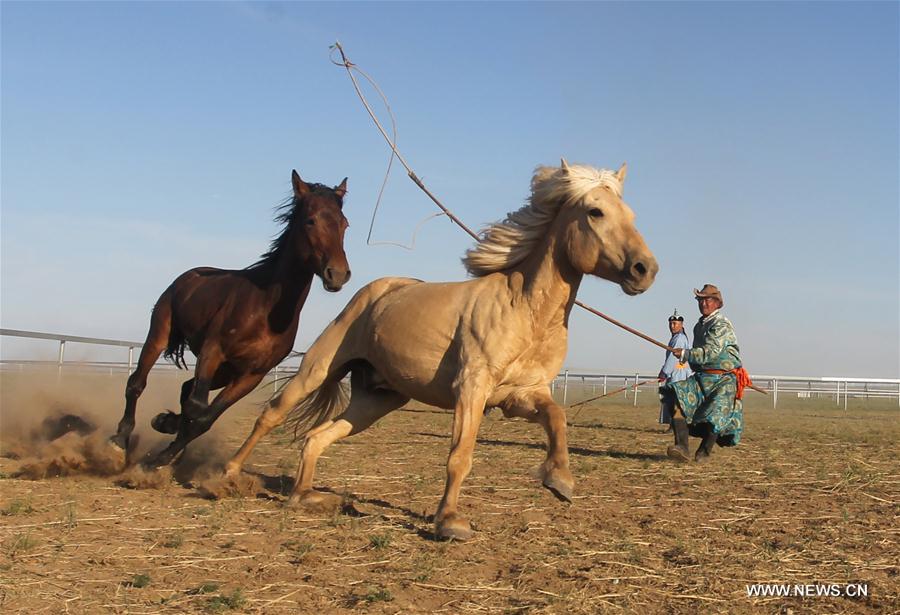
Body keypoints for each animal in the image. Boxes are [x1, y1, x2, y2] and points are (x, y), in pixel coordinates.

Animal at [108, 170, 352, 469]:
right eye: (311, 220)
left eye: (344, 224)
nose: (337, 274)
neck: (265, 309)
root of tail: (187, 277)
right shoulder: (213, 351)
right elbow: (197, 407)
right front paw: (161, 448)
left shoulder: (250, 376)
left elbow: (205, 418)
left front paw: (164, 445)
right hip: (161, 333)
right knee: (137, 383)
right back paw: (120, 441)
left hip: (224, 373)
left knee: (186, 389)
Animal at [222, 160, 657, 540]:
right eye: (595, 211)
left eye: (632, 214)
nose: (645, 270)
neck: (526, 312)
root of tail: (374, 291)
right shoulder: (472, 389)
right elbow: (459, 456)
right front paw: (449, 521)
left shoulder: (520, 395)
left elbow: (557, 418)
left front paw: (559, 480)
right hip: (319, 367)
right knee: (272, 414)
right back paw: (229, 477)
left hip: (377, 399)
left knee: (317, 436)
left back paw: (307, 497)